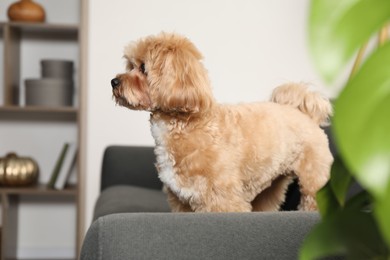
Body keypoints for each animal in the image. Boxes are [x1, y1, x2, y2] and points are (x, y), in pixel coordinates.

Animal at [111, 32, 334, 211]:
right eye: (130, 65)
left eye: (143, 68)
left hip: (314, 180)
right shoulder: (181, 201)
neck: (185, 125)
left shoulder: (222, 199)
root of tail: (304, 113)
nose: (114, 82)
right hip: (272, 183)